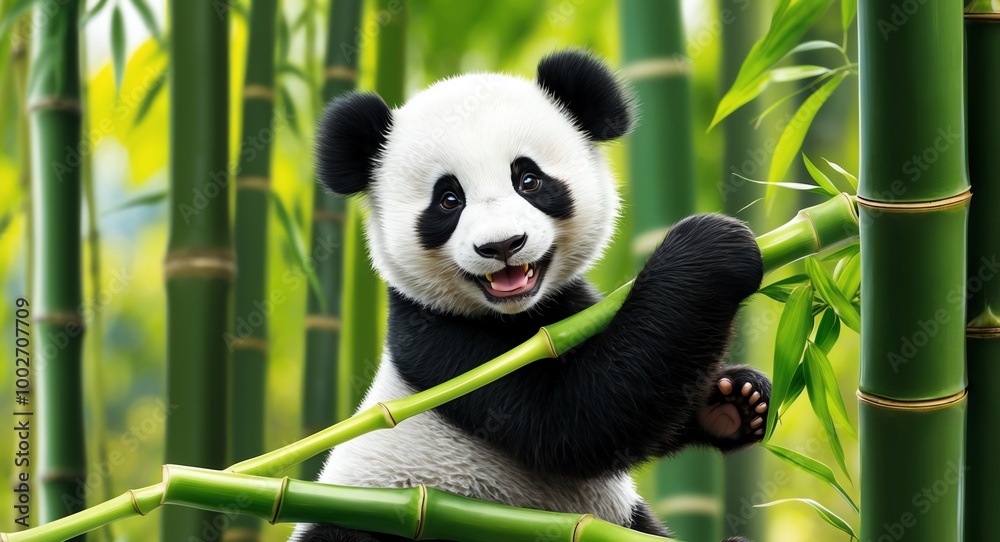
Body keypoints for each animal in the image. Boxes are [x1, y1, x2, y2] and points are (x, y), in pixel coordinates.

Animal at [292, 50, 770, 542]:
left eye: (528, 180)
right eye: (448, 200)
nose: (502, 245)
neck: (517, 312)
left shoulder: (571, 307)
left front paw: (736, 400)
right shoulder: (437, 338)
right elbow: (573, 419)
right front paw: (714, 247)